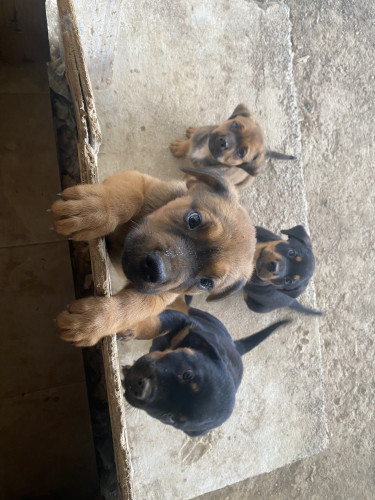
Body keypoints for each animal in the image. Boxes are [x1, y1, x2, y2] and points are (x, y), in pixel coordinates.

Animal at [51, 168, 258, 348]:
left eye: (205, 283)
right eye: (194, 219)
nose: (155, 269)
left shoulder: (158, 296)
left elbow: (131, 307)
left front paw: (92, 322)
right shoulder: (140, 180)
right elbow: (131, 197)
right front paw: (92, 210)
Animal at [122, 300, 290, 438]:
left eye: (168, 417)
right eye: (188, 374)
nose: (141, 387)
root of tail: (236, 347)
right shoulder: (188, 324)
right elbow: (158, 324)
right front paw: (132, 329)